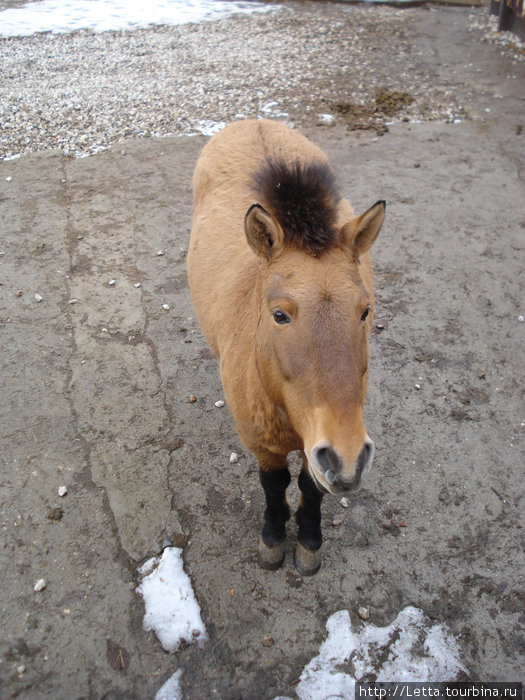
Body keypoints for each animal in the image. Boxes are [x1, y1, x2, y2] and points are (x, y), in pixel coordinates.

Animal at [186, 120, 382, 576]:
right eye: (279, 315)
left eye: (364, 310)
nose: (348, 459)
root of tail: (251, 121)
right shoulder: (262, 442)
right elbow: (274, 485)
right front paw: (274, 538)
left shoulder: (317, 445)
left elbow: (310, 485)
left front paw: (309, 542)